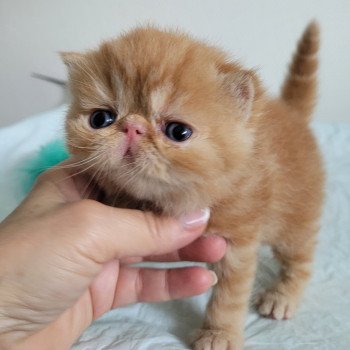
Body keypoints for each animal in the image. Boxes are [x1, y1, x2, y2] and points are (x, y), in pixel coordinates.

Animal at [62, 23, 322, 348]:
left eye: (178, 131)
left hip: (294, 219)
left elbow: (229, 296)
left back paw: (282, 295)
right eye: (101, 118)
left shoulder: (238, 242)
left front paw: (218, 333)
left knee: (301, 258)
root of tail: (293, 114)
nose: (132, 126)